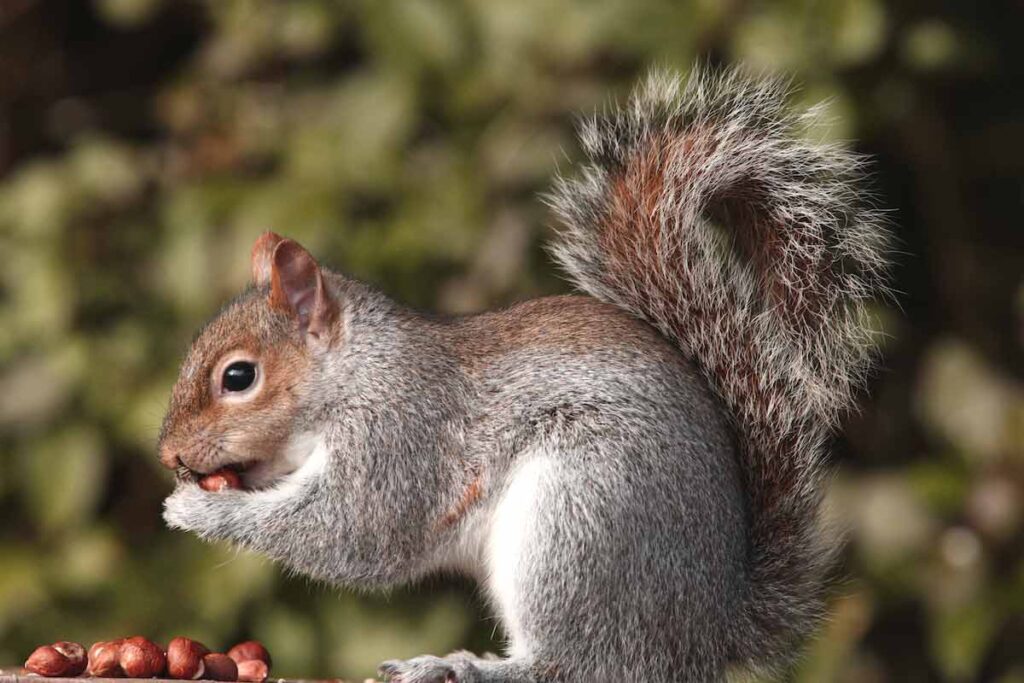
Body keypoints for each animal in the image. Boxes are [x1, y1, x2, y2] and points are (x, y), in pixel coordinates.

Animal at [160, 67, 891, 682]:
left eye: (238, 377)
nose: (167, 454)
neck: (357, 371)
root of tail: (705, 635)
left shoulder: (400, 437)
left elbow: (353, 532)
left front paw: (200, 508)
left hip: (576, 520)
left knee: (573, 665)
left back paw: (459, 666)